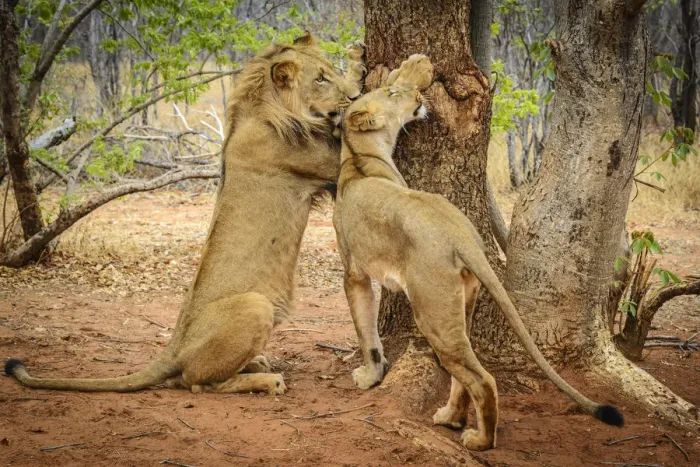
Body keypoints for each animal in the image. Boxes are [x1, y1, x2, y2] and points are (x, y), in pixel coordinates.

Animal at [5, 32, 365, 395]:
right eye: (320, 79)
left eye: (329, 71)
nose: (352, 97)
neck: (264, 107)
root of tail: (174, 348)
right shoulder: (328, 165)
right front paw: (363, 73)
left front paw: (357, 61)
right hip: (256, 306)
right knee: (199, 382)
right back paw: (267, 379)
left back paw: (258, 364)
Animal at [332, 55, 623, 451]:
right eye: (390, 94)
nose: (418, 97)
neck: (357, 157)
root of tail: (464, 237)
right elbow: (366, 328)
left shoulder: (354, 273)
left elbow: (365, 331)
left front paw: (369, 375)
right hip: (461, 299)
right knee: (464, 372)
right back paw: (450, 417)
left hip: (431, 311)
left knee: (482, 379)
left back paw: (480, 440)